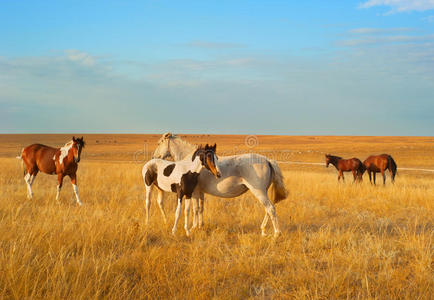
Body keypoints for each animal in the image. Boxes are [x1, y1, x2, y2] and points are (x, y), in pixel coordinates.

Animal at [153, 132, 288, 238]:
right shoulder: (200, 192)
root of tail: (267, 160)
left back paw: (276, 234)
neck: (192, 164)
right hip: (263, 192)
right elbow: (201, 209)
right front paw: (200, 226)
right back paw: (263, 230)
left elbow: (195, 209)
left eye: (159, 143)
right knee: (268, 209)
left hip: (259, 192)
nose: (154, 156)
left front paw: (193, 227)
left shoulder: (194, 191)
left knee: (270, 208)